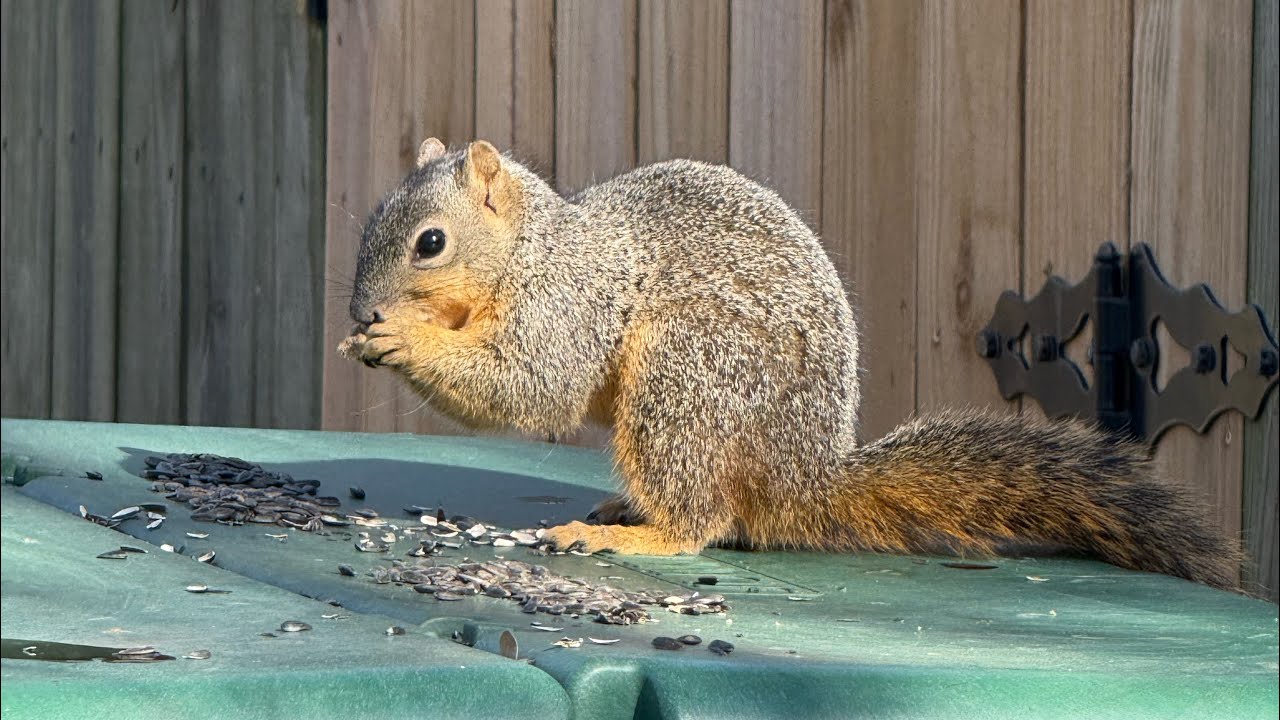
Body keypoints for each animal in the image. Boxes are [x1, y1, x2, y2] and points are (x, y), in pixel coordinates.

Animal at [339, 138, 1242, 591]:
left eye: (430, 243)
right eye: (371, 223)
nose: (359, 313)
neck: (531, 249)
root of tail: (803, 476)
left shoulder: (571, 301)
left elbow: (534, 381)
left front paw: (404, 340)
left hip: (688, 373)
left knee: (702, 521)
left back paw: (636, 534)